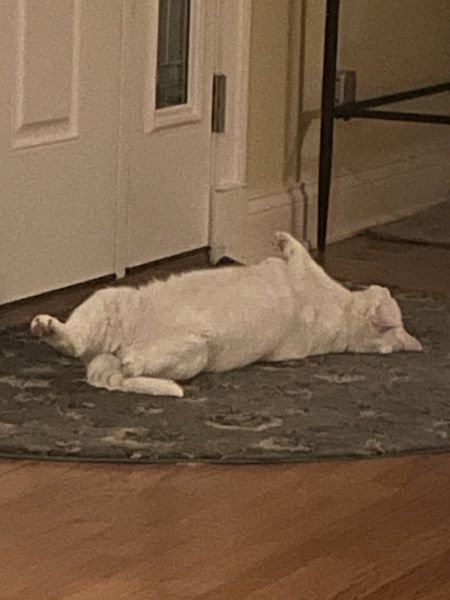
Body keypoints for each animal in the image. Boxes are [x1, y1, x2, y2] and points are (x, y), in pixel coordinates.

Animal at [30, 232, 422, 396]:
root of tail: (111, 359)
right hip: (110, 302)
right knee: (79, 342)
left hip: (193, 354)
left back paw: (126, 360)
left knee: (129, 364)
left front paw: (282, 239)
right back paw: (49, 328)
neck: (345, 321)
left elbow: (299, 251)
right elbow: (297, 252)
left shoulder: (307, 273)